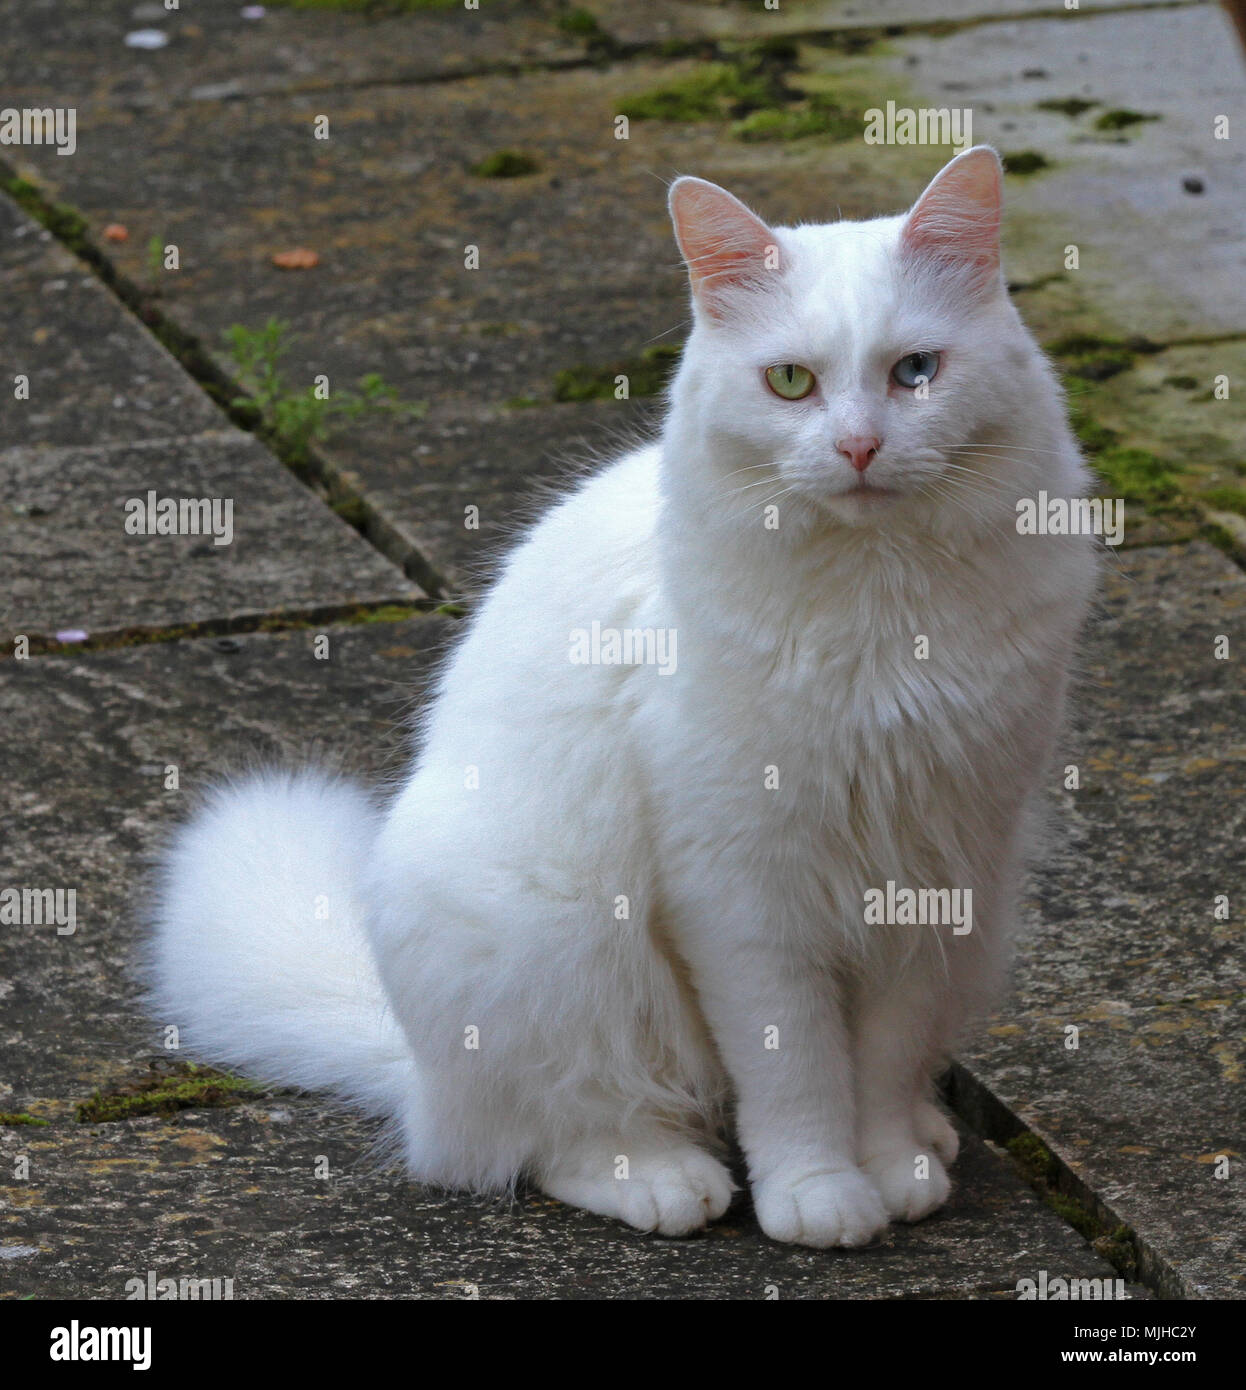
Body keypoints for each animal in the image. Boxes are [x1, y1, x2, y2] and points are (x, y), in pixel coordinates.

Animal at [150, 149, 1095, 1251]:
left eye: (915, 373)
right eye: (791, 381)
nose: (859, 447)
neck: (884, 611)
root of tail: (419, 1077)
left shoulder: (940, 868)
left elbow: (884, 1056)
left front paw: (893, 1163)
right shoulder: (743, 891)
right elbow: (796, 1070)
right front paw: (819, 1194)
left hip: (980, 927)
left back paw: (926, 1136)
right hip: (555, 936)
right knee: (541, 1140)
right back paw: (666, 1178)